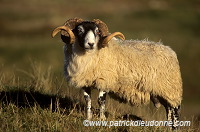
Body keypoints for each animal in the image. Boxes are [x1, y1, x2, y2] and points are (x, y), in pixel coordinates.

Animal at [52, 17, 183, 129]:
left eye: (97, 32)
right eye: (79, 30)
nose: (91, 44)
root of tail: (169, 50)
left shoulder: (104, 80)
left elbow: (101, 101)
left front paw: (102, 120)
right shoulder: (85, 81)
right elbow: (87, 99)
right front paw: (88, 119)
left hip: (171, 90)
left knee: (175, 111)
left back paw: (175, 128)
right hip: (162, 92)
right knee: (169, 111)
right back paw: (168, 128)